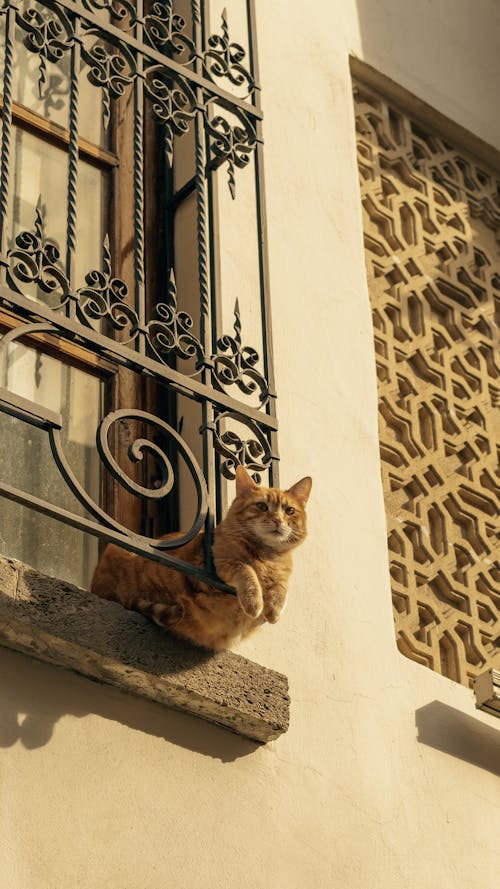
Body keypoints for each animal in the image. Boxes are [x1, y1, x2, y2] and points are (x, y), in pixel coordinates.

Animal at [91, 468, 310, 648]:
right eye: (262, 506)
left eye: (289, 511)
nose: (278, 520)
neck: (266, 555)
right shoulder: (215, 565)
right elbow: (246, 571)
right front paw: (254, 602)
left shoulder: (281, 576)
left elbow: (281, 587)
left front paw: (274, 609)